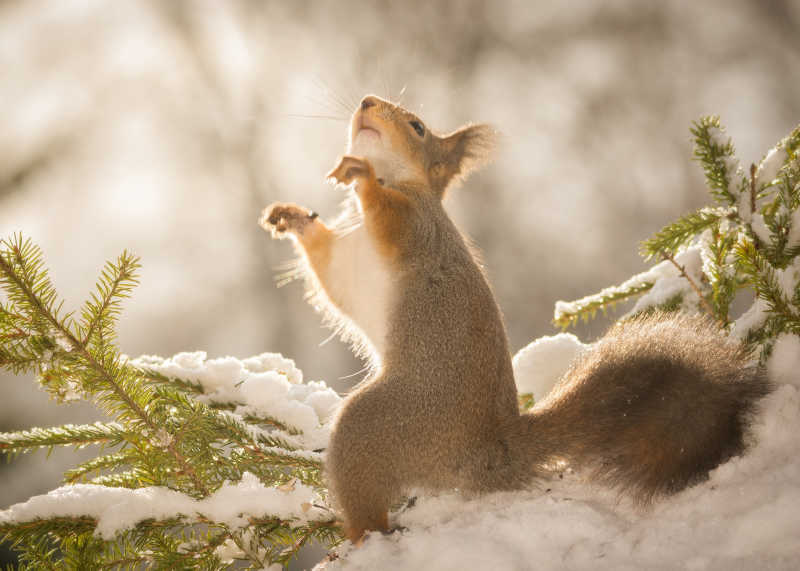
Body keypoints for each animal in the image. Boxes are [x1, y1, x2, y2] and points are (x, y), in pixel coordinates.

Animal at [260, 95, 772, 544]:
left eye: (418, 126)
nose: (366, 102)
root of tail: (492, 451)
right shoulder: (345, 264)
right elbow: (325, 264)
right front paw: (291, 215)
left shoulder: (417, 228)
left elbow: (387, 212)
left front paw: (361, 175)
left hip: (382, 426)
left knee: (370, 507)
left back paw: (359, 539)